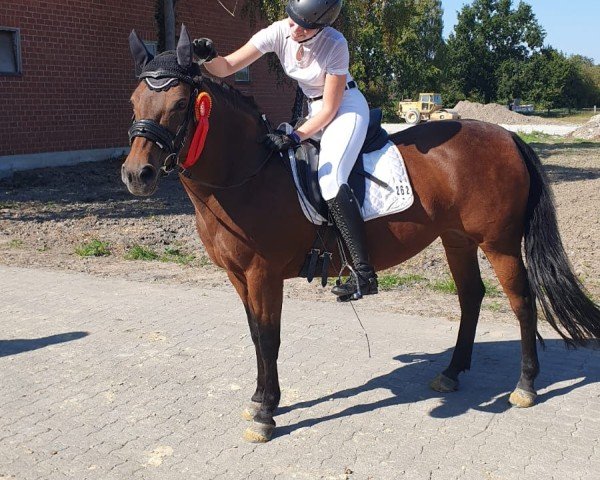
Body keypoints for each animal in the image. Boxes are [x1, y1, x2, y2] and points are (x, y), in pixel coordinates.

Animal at [122, 29, 600, 442]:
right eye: (134, 100)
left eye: (180, 103)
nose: (136, 175)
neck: (248, 176)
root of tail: (507, 135)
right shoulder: (238, 276)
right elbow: (257, 335)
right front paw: (260, 399)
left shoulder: (263, 274)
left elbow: (270, 336)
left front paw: (266, 413)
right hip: (457, 239)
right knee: (471, 296)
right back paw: (451, 372)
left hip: (498, 243)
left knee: (522, 301)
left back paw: (526, 385)